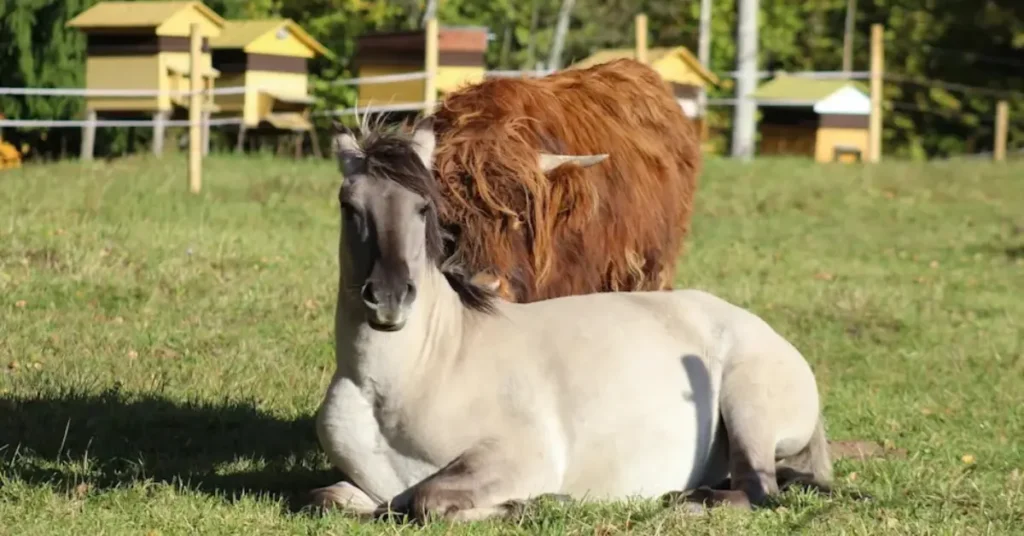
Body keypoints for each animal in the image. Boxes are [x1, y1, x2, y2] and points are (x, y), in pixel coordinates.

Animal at [309, 117, 833, 522]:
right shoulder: (362, 486)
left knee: (759, 490)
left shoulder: (517, 458)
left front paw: (535, 504)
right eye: (348, 207)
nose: (389, 299)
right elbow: (328, 497)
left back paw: (685, 503)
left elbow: (428, 500)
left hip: (747, 408)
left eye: (423, 206)